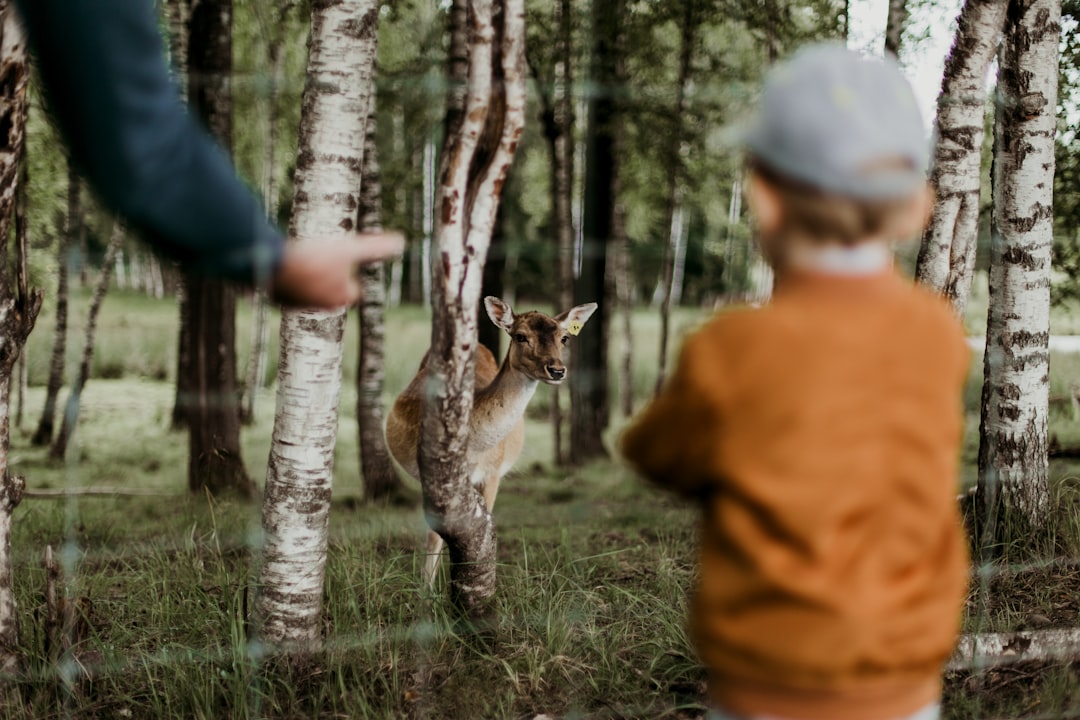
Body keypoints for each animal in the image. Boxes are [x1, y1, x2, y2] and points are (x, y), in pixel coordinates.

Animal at [386, 297, 600, 587]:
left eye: (564, 337)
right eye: (521, 336)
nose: (556, 370)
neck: (475, 446)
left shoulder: (493, 472)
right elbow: (434, 534)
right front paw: (427, 589)